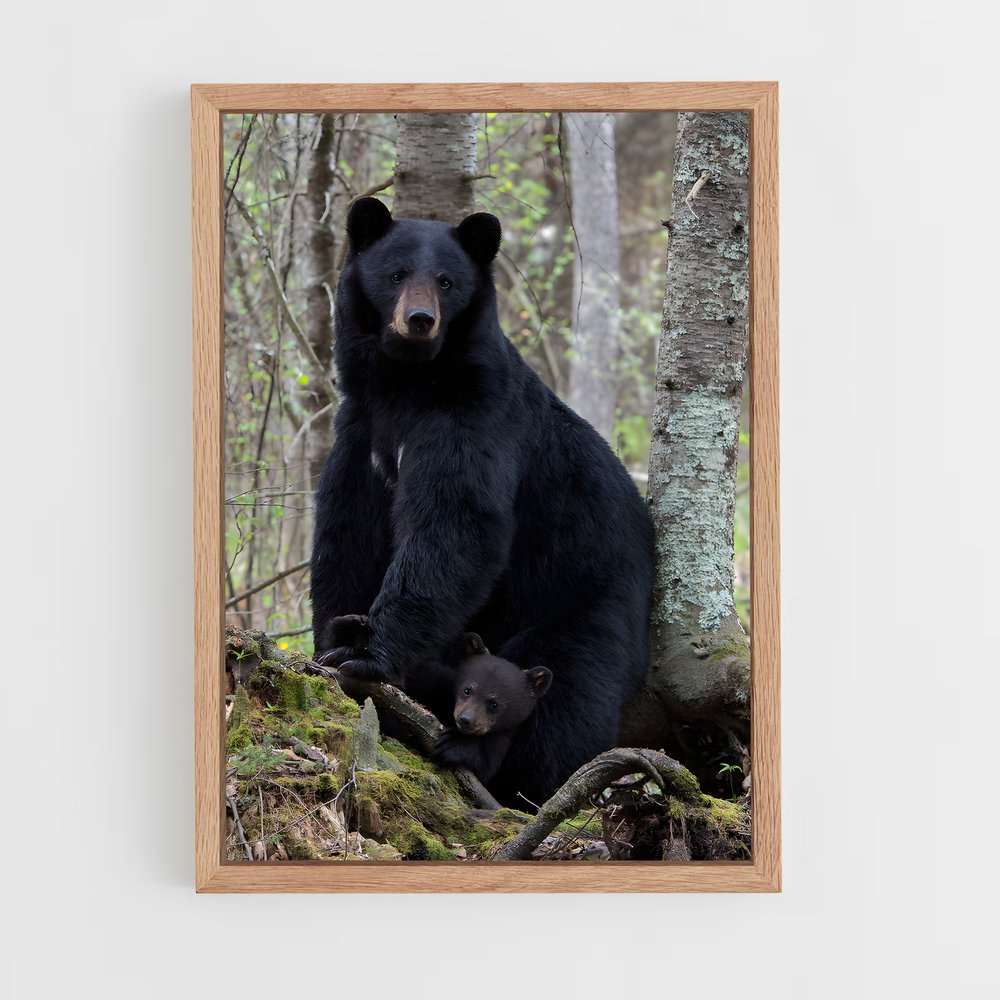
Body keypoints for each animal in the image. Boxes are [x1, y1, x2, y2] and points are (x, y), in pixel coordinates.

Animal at [310, 196, 655, 808]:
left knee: (566, 698)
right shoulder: (360, 429)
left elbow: (458, 523)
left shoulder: (475, 417)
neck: (407, 383)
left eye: (447, 281)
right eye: (396, 273)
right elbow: (347, 531)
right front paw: (333, 636)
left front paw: (368, 652)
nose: (419, 320)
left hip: (583, 598)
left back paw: (532, 789)